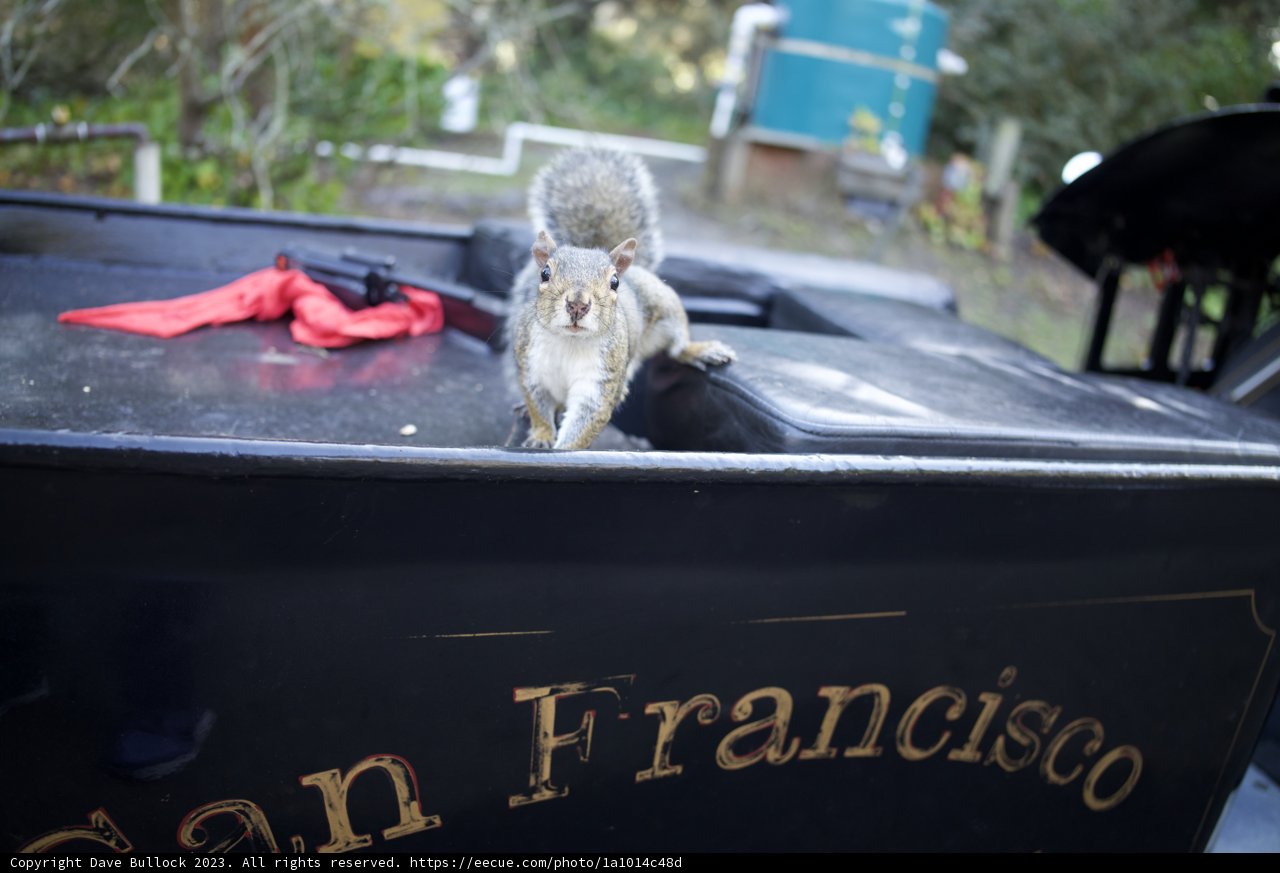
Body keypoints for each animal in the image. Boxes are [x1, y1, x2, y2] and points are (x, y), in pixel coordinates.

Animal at [508, 147, 736, 450]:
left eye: (614, 282)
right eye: (544, 273)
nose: (578, 305)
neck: (570, 342)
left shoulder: (601, 381)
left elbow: (587, 420)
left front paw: (565, 449)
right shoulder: (532, 369)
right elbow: (538, 407)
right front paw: (541, 437)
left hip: (667, 311)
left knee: (677, 348)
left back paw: (699, 350)